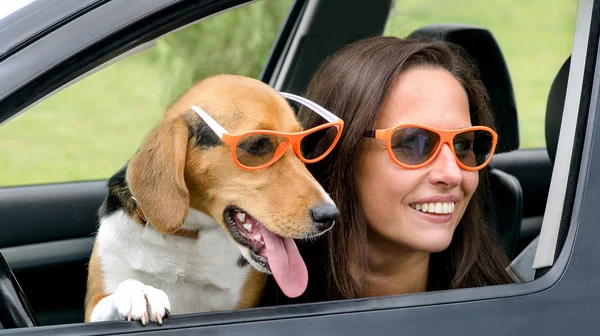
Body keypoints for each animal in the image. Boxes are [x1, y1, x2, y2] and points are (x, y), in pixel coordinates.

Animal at [86, 75, 344, 324]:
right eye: (257, 144)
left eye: (303, 144)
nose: (329, 215)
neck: (187, 236)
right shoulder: (94, 305)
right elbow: (124, 286)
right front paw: (141, 293)